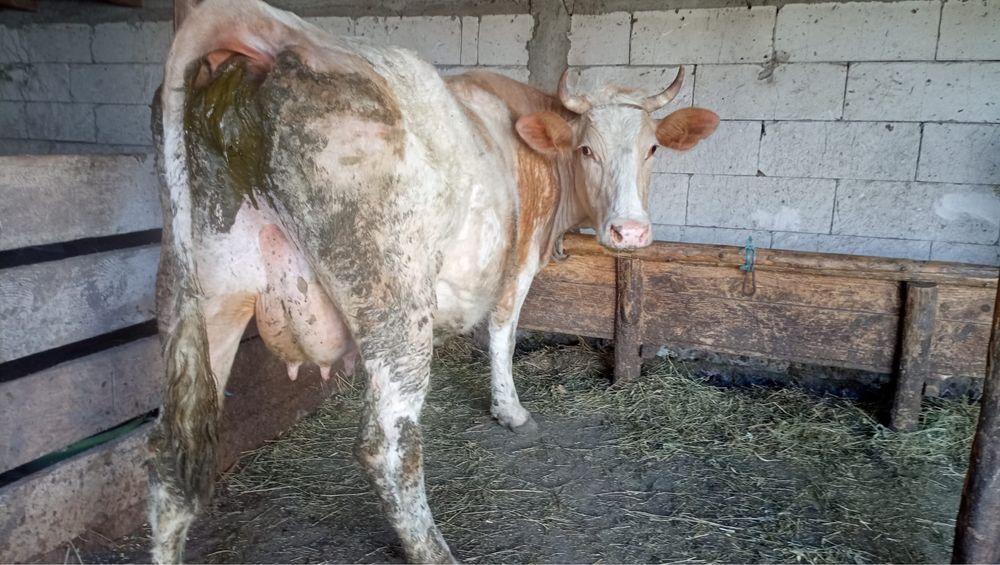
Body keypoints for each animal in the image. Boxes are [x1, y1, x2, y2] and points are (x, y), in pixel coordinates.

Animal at [148, 0, 719, 562]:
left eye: (652, 149)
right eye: (586, 150)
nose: (630, 231)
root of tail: (272, 30)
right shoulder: (519, 261)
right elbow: (503, 332)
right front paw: (510, 411)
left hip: (202, 298)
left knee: (166, 460)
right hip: (394, 303)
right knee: (387, 447)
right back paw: (434, 550)